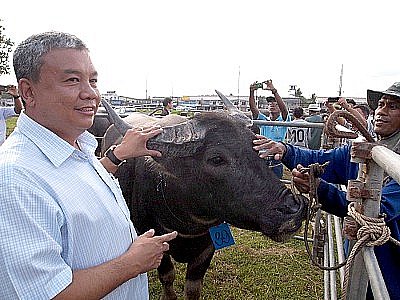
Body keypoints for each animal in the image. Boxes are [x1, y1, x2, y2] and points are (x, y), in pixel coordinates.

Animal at [100, 92, 306, 298]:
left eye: (256, 146)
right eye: (216, 159)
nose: (294, 209)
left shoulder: (208, 247)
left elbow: (193, 287)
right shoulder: (154, 242)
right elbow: (167, 276)